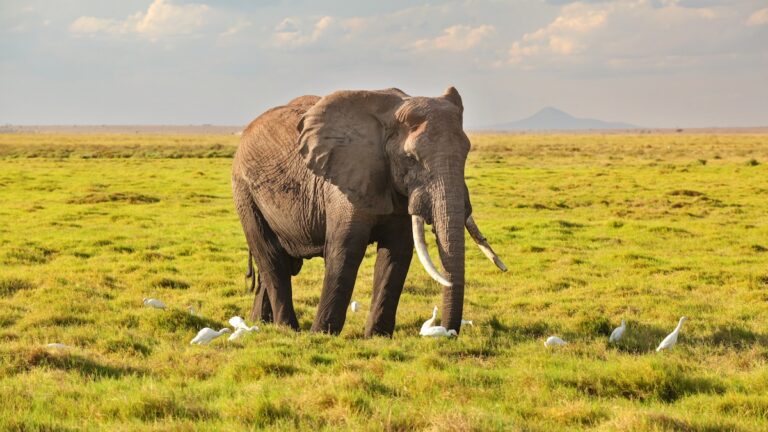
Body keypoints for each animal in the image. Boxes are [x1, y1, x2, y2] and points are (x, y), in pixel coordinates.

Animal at [231, 87, 505, 337]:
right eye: (411, 158)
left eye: (466, 153)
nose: (448, 333)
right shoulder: (345, 180)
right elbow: (345, 250)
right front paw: (322, 335)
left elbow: (397, 253)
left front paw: (377, 336)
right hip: (245, 192)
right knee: (272, 258)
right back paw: (289, 329)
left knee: (284, 263)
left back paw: (260, 324)